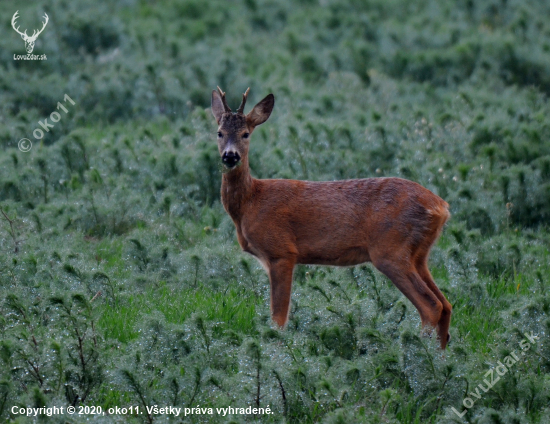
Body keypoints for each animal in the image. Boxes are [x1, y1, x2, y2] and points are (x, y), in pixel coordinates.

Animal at [211, 85, 452, 348]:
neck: (250, 202)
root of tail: (441, 206)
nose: (230, 156)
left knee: (431, 306)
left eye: (245, 134)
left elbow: (278, 317)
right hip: (418, 255)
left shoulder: (281, 251)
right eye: (219, 132)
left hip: (391, 250)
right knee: (446, 304)